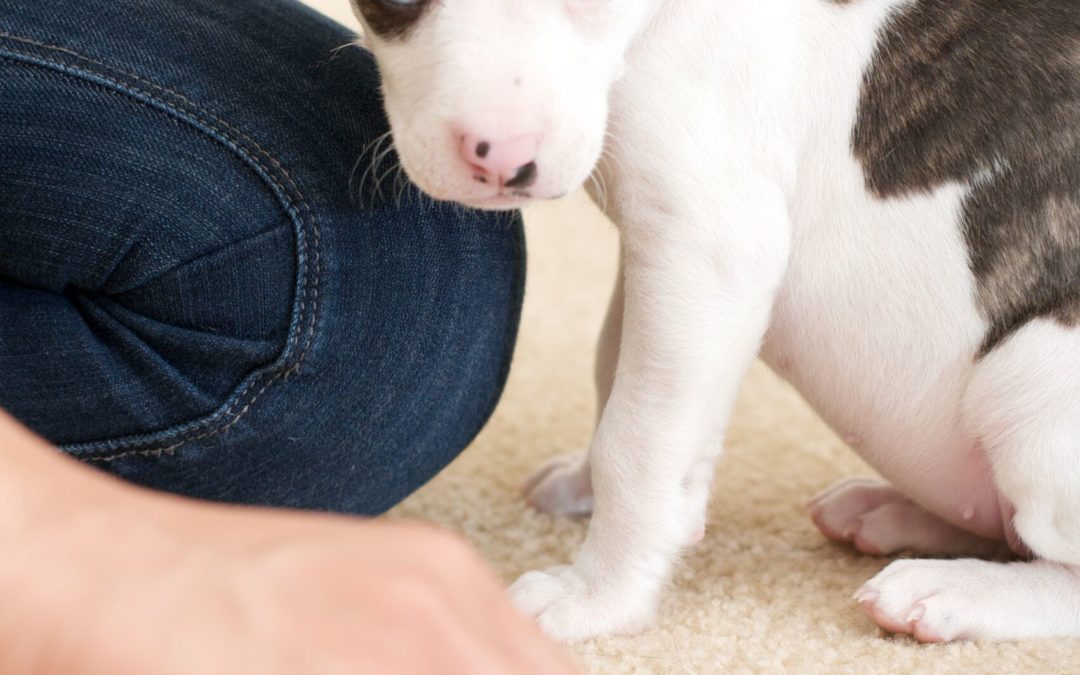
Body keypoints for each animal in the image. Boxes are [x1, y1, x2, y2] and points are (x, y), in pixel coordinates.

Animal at [352, 0, 1080, 643]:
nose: (500, 156)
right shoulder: (654, 254)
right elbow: (616, 369)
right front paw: (589, 486)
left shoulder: (707, 246)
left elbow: (637, 442)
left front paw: (597, 597)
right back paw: (894, 513)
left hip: (1026, 392)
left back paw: (955, 590)